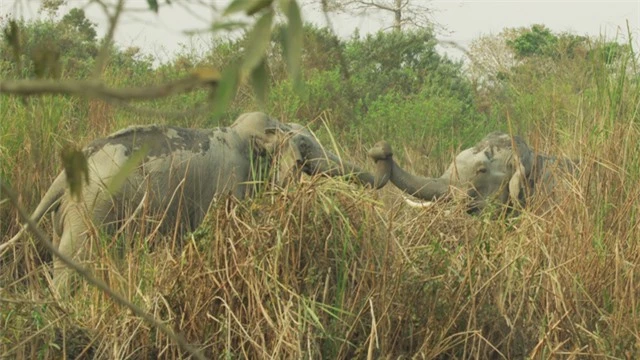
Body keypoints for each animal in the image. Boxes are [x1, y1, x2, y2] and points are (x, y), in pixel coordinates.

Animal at [7, 111, 384, 292]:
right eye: (305, 145)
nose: (381, 152)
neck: (241, 132)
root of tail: (62, 176)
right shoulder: (228, 183)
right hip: (92, 209)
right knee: (74, 266)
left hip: (71, 213)